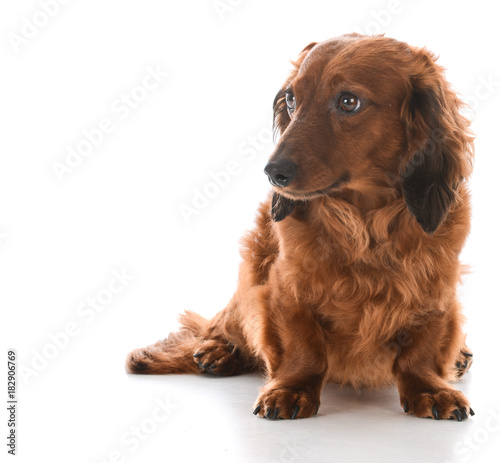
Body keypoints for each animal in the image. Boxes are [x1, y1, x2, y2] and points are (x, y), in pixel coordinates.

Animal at [127, 34, 474, 422]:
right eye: (292, 98)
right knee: (225, 321)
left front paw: (430, 388)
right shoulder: (285, 287)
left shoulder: (437, 292)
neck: (365, 227)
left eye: (348, 102)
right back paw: (220, 349)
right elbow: (303, 347)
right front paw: (292, 389)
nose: (273, 172)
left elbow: (421, 351)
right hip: (252, 265)